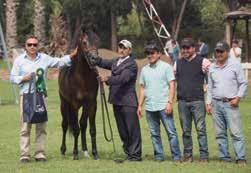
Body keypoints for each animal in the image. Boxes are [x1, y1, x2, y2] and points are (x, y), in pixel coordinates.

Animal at [57, 29, 99, 160]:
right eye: (84, 42)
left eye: (98, 41)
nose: (95, 59)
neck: (82, 78)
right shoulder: (74, 105)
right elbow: (75, 129)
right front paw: (75, 153)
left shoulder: (92, 104)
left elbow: (91, 128)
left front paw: (95, 153)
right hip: (64, 104)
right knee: (65, 125)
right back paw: (63, 150)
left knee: (83, 124)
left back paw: (85, 150)